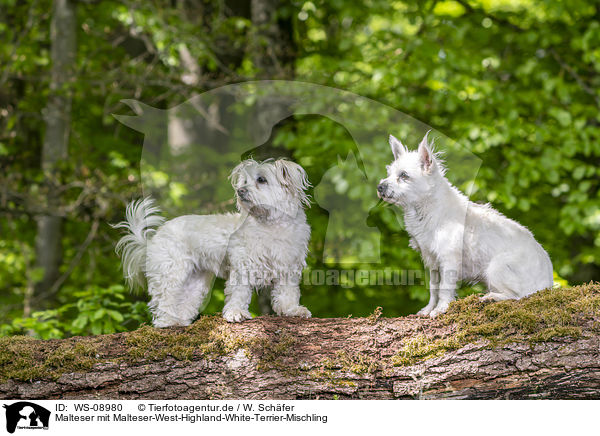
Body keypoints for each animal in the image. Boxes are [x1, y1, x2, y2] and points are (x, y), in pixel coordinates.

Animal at [113, 158, 314, 326]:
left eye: (262, 179)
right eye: (244, 182)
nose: (240, 191)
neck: (270, 225)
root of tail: (154, 237)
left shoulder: (288, 267)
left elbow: (287, 293)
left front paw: (292, 310)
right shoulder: (243, 267)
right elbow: (239, 293)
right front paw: (236, 313)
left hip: (194, 283)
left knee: (184, 303)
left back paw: (179, 322)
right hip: (171, 273)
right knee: (163, 300)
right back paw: (166, 322)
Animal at [378, 133, 556, 316]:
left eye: (404, 175)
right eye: (389, 173)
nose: (380, 187)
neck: (427, 209)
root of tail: (548, 284)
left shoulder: (448, 259)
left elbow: (444, 288)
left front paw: (440, 309)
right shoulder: (432, 262)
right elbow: (433, 288)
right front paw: (428, 309)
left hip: (495, 268)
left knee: (518, 296)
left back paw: (491, 297)